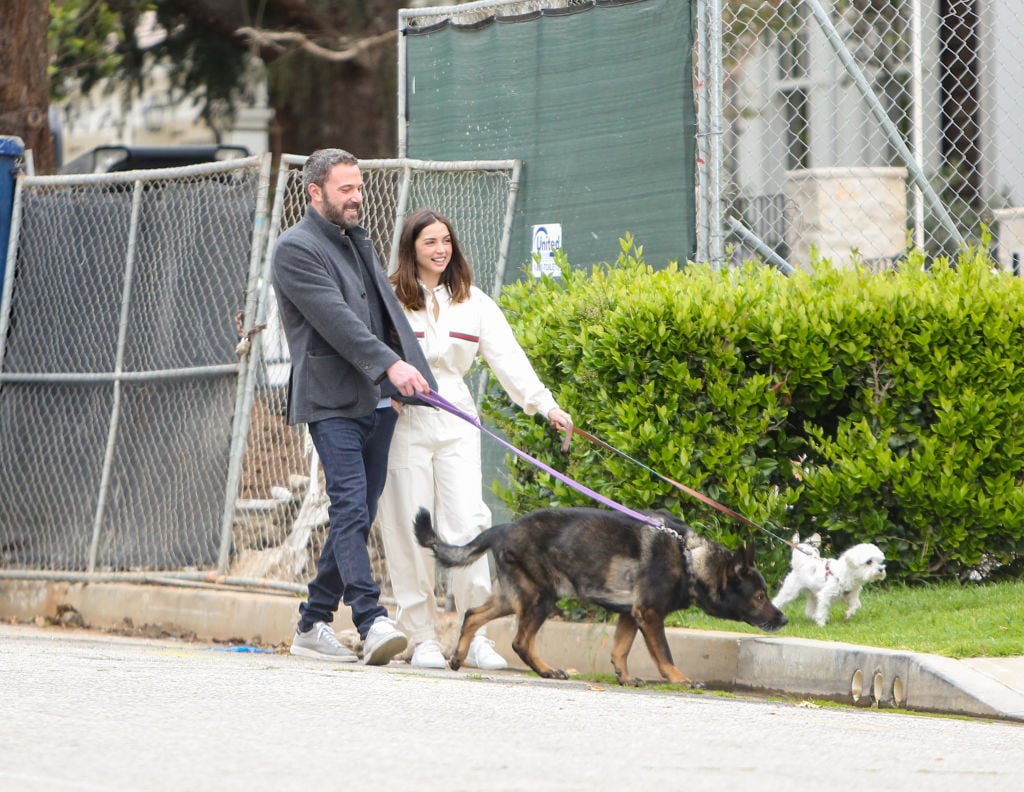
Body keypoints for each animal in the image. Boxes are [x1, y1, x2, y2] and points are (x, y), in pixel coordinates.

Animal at [411, 506, 786, 684]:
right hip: (540, 598)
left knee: (472, 614)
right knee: (520, 642)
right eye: (759, 596)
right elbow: (664, 654)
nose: (783, 618)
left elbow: (620, 650)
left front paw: (625, 677)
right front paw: (681, 679)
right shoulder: (650, 614)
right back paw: (547, 671)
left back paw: (458, 657)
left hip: (514, 597)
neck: (690, 559)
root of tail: (504, 527)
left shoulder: (631, 615)